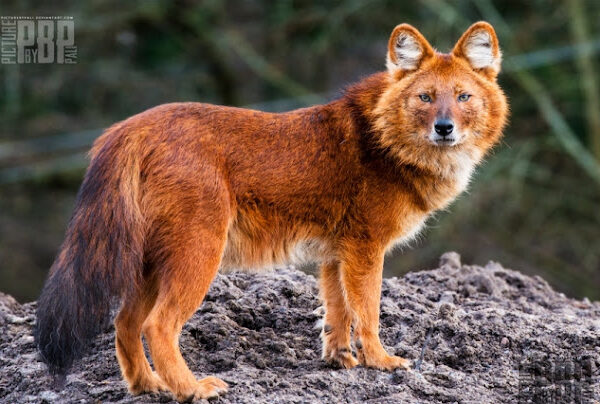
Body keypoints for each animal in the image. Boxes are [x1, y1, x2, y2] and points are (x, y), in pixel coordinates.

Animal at [35, 21, 506, 400]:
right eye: (425, 97)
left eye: (463, 96)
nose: (444, 128)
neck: (384, 140)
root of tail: (129, 127)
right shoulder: (365, 248)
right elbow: (368, 311)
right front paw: (381, 362)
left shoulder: (335, 254)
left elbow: (338, 312)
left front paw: (340, 361)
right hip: (198, 254)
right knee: (157, 325)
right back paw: (191, 389)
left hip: (151, 261)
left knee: (124, 323)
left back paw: (150, 386)